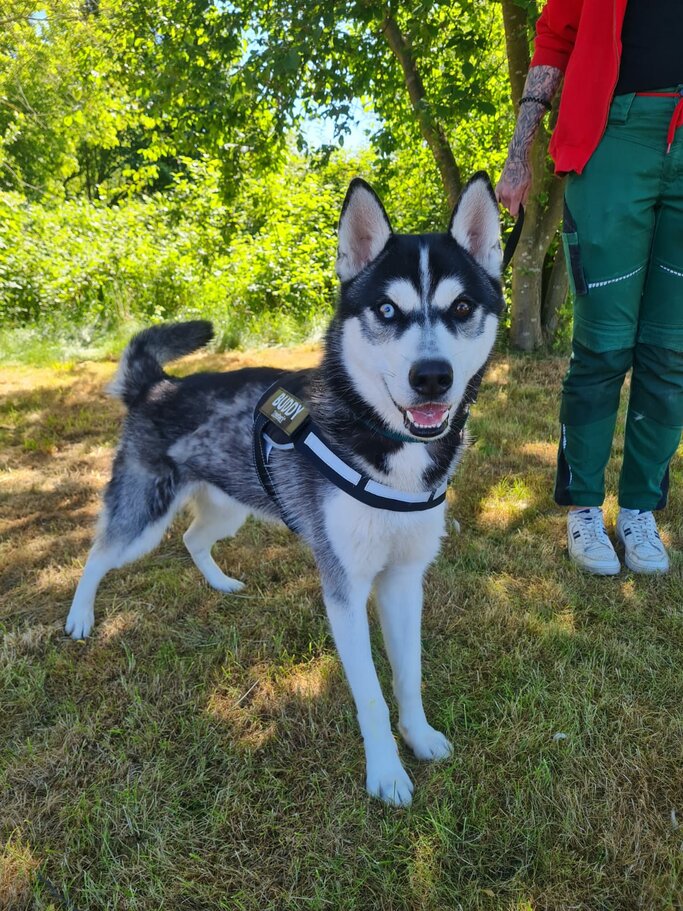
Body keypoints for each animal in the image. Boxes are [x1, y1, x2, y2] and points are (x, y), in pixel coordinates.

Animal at [65, 175, 502, 808]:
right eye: (387, 310)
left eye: (462, 307)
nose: (431, 377)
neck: (385, 445)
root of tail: (157, 386)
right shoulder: (345, 588)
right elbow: (372, 693)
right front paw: (386, 773)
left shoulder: (404, 578)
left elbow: (408, 674)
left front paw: (418, 737)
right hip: (142, 517)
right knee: (99, 553)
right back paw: (79, 617)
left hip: (229, 509)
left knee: (194, 539)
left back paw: (220, 582)